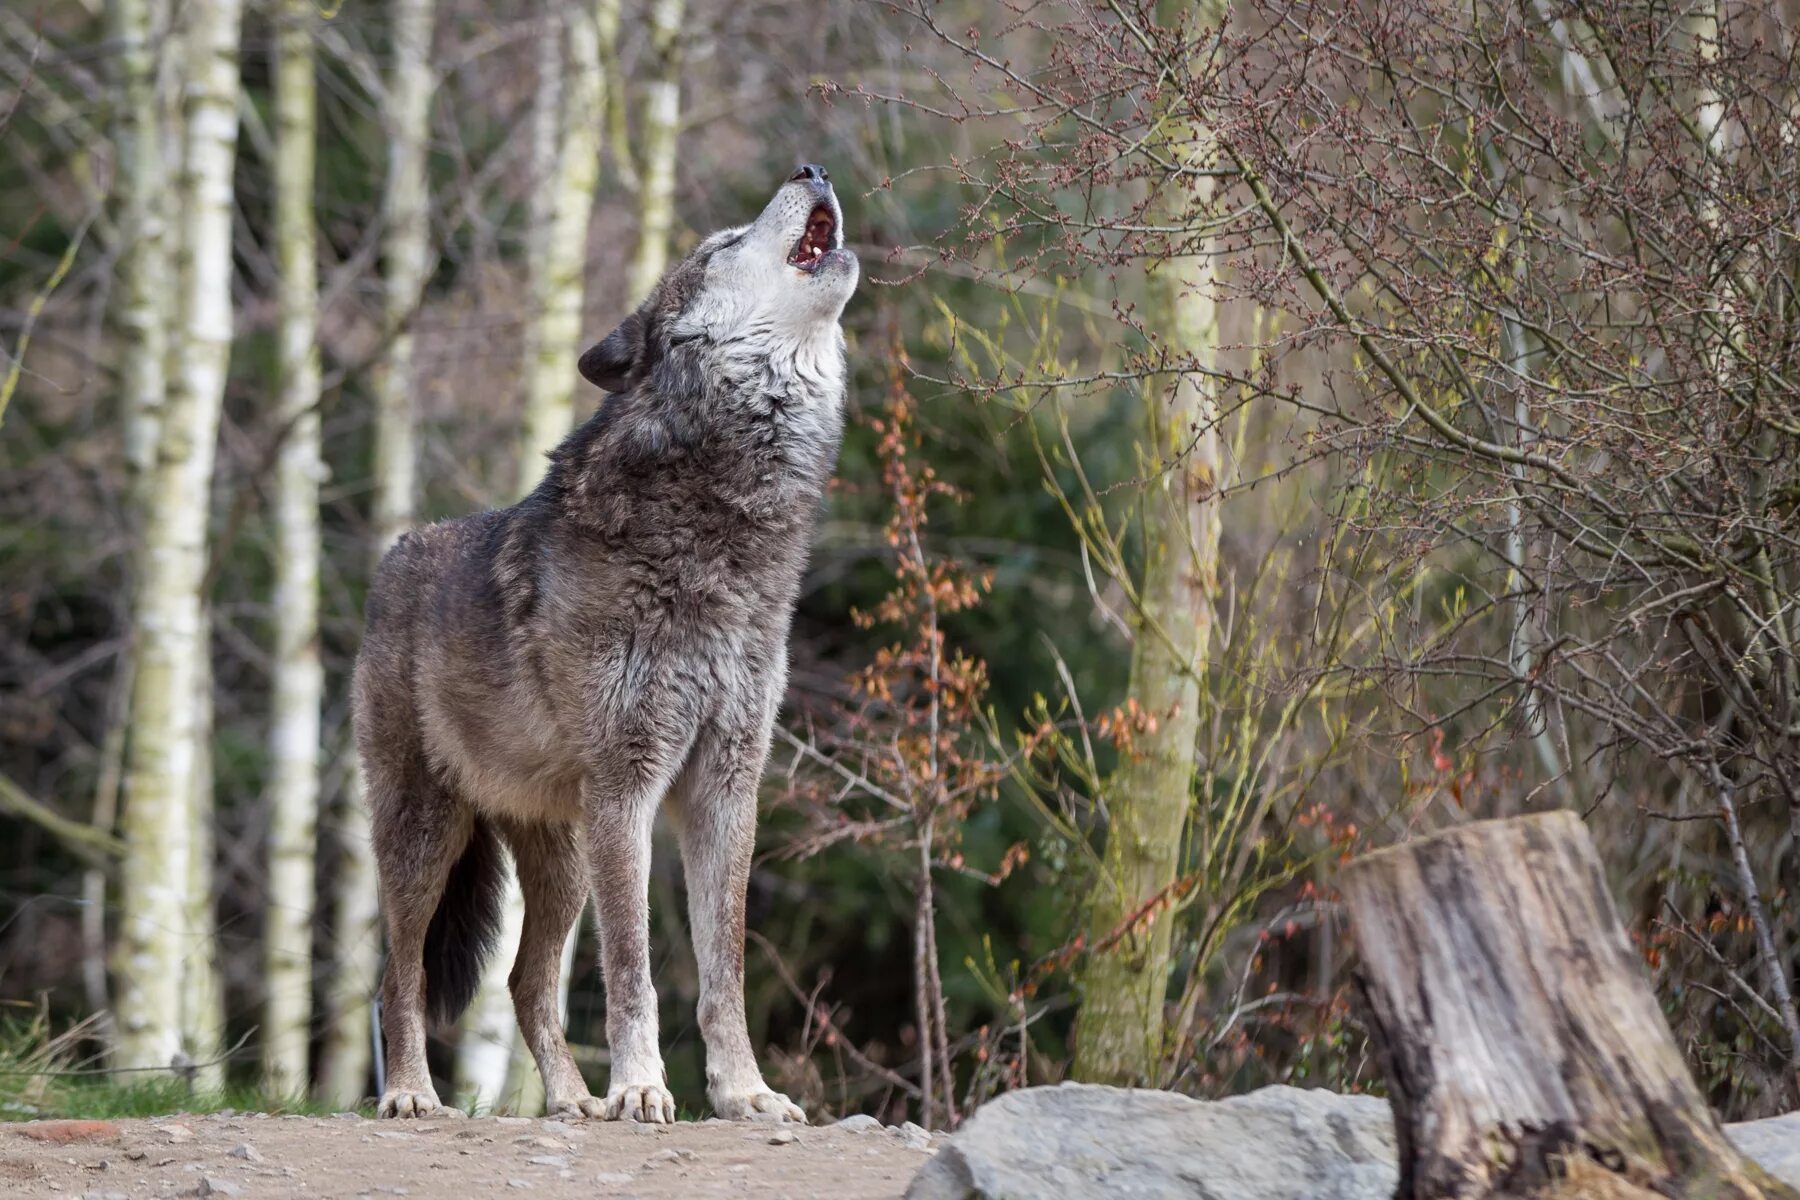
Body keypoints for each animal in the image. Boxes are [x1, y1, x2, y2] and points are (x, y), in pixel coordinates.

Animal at [354, 164, 860, 1122]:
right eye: (722, 244)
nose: (811, 169)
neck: (726, 531)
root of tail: (391, 556)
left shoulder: (727, 787)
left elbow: (725, 970)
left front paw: (744, 1094)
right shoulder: (628, 787)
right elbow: (633, 965)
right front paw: (640, 1088)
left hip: (562, 857)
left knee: (525, 981)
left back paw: (569, 1101)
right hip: (429, 835)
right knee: (396, 975)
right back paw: (410, 1095)